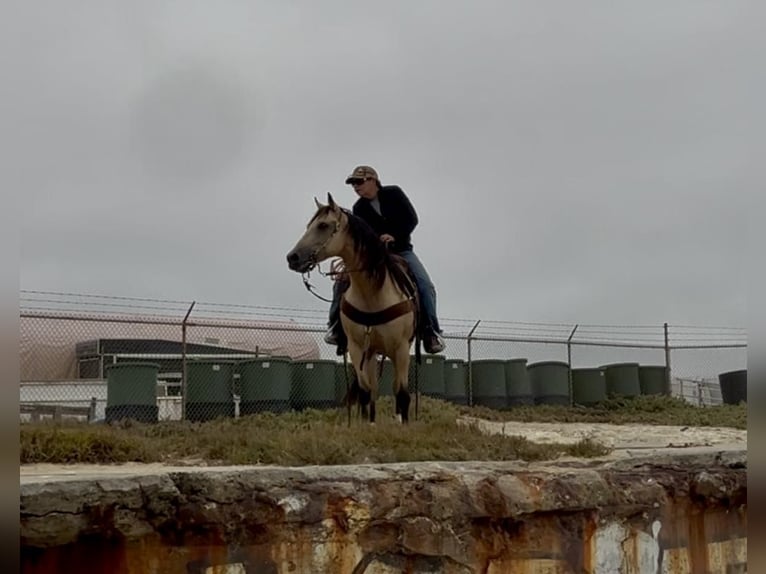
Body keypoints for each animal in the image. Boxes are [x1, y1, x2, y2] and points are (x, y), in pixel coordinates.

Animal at [286, 192, 419, 424]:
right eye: (309, 225)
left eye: (323, 225)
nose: (292, 258)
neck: (372, 294)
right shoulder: (356, 349)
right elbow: (365, 392)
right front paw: (367, 425)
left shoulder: (402, 348)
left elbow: (402, 394)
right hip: (372, 353)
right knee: (372, 390)